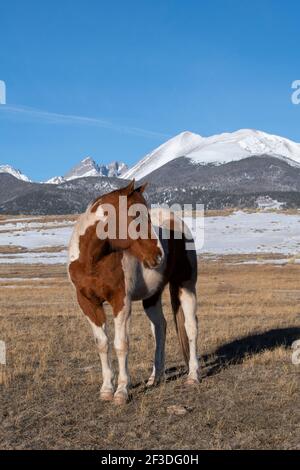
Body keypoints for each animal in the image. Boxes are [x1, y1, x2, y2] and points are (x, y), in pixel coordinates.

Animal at [68, 180, 199, 404]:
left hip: (186, 286)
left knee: (191, 327)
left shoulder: (121, 300)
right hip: (152, 296)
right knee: (160, 328)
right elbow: (102, 344)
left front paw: (121, 391)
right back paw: (155, 378)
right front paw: (106, 389)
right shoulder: (87, 302)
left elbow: (121, 344)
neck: (92, 260)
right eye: (136, 215)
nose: (158, 255)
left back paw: (193, 376)